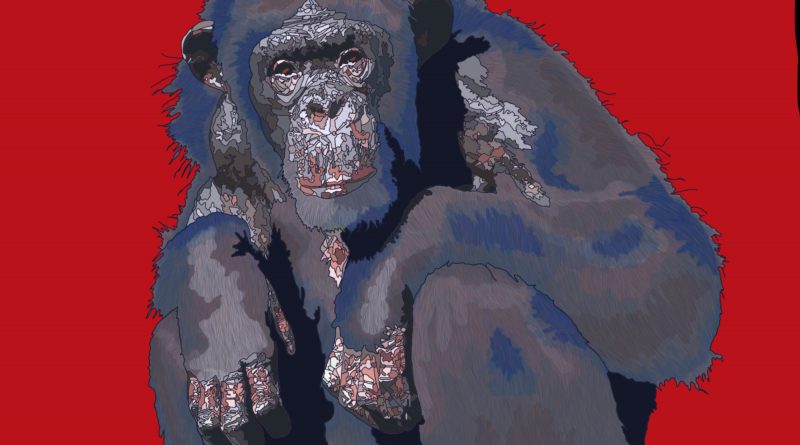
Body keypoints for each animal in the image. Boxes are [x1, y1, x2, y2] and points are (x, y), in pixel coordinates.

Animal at [149, 1, 722, 444]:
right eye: (285, 70)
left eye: (351, 58)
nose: (325, 106)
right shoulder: (229, 136)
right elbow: (217, 209)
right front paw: (219, 302)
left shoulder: (507, 71)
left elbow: (655, 254)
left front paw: (374, 291)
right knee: (170, 344)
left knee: (468, 294)